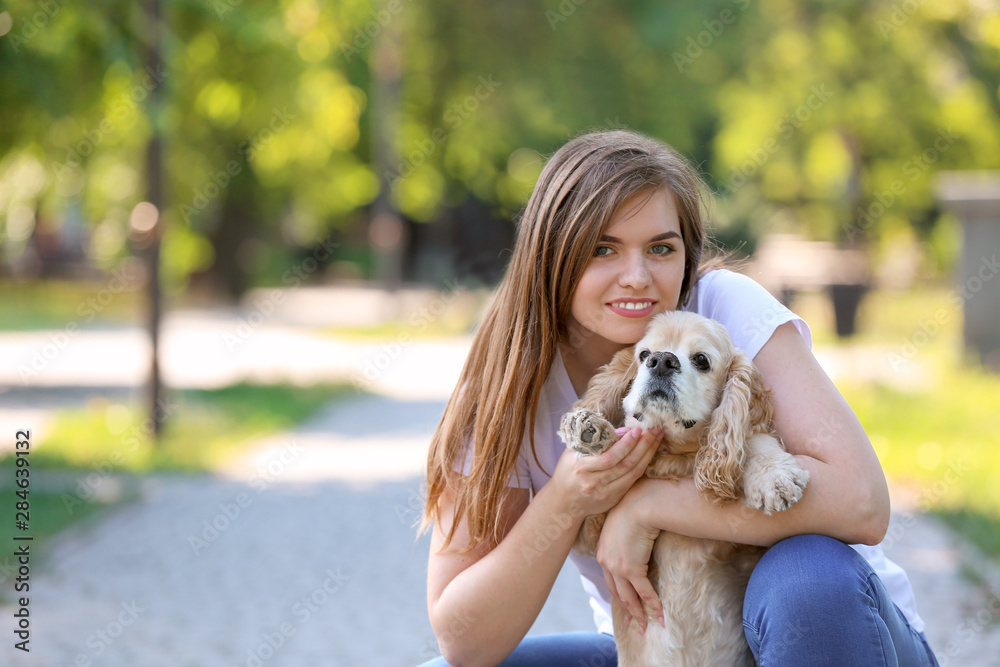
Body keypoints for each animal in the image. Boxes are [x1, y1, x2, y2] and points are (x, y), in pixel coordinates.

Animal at [560, 310, 808, 664]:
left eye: (701, 360)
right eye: (644, 355)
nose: (662, 361)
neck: (675, 455)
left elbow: (748, 434)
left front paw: (773, 476)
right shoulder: (587, 534)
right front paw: (592, 427)